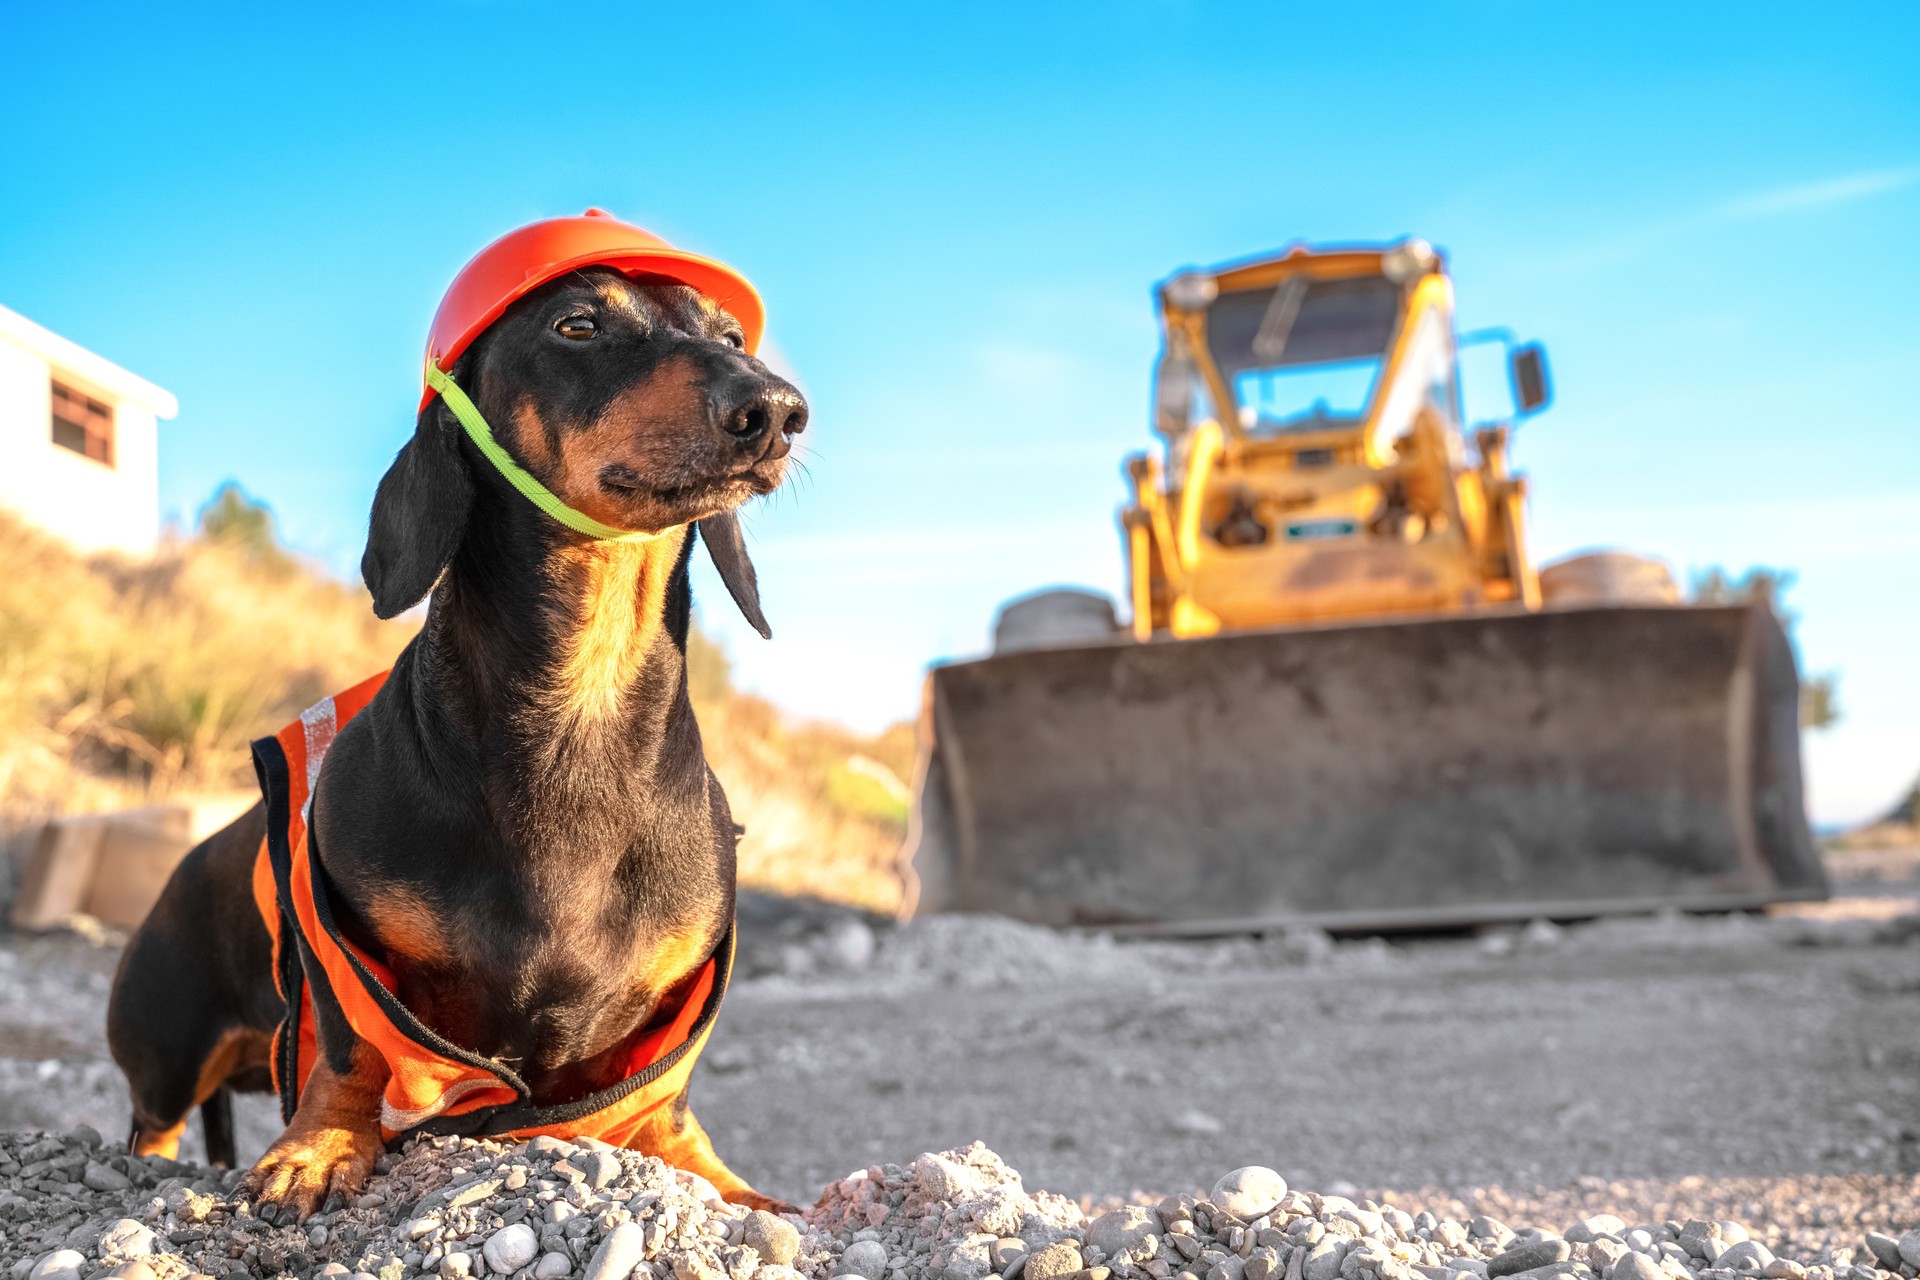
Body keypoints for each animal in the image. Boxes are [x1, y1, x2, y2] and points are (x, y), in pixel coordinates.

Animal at [101, 247, 806, 1220]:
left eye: (733, 336)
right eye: (578, 324)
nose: (774, 410)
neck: (580, 711)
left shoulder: (665, 1013)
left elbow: (660, 1103)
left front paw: (724, 1184)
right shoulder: (341, 939)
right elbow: (355, 1044)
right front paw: (322, 1147)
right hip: (165, 1058)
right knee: (154, 1127)